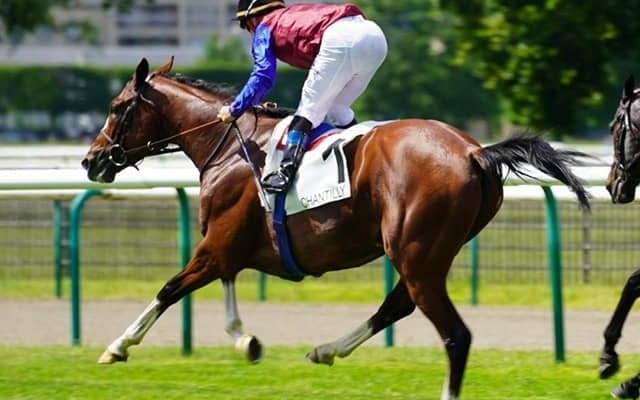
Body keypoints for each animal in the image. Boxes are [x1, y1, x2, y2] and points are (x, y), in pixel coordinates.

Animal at [82, 57, 590, 400]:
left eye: (117, 106)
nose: (91, 160)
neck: (226, 146)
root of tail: (474, 152)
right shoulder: (230, 246)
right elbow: (223, 287)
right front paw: (247, 340)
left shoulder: (216, 243)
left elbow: (169, 288)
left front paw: (117, 346)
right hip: (427, 253)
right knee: (396, 306)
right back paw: (326, 350)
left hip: (416, 252)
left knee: (454, 334)